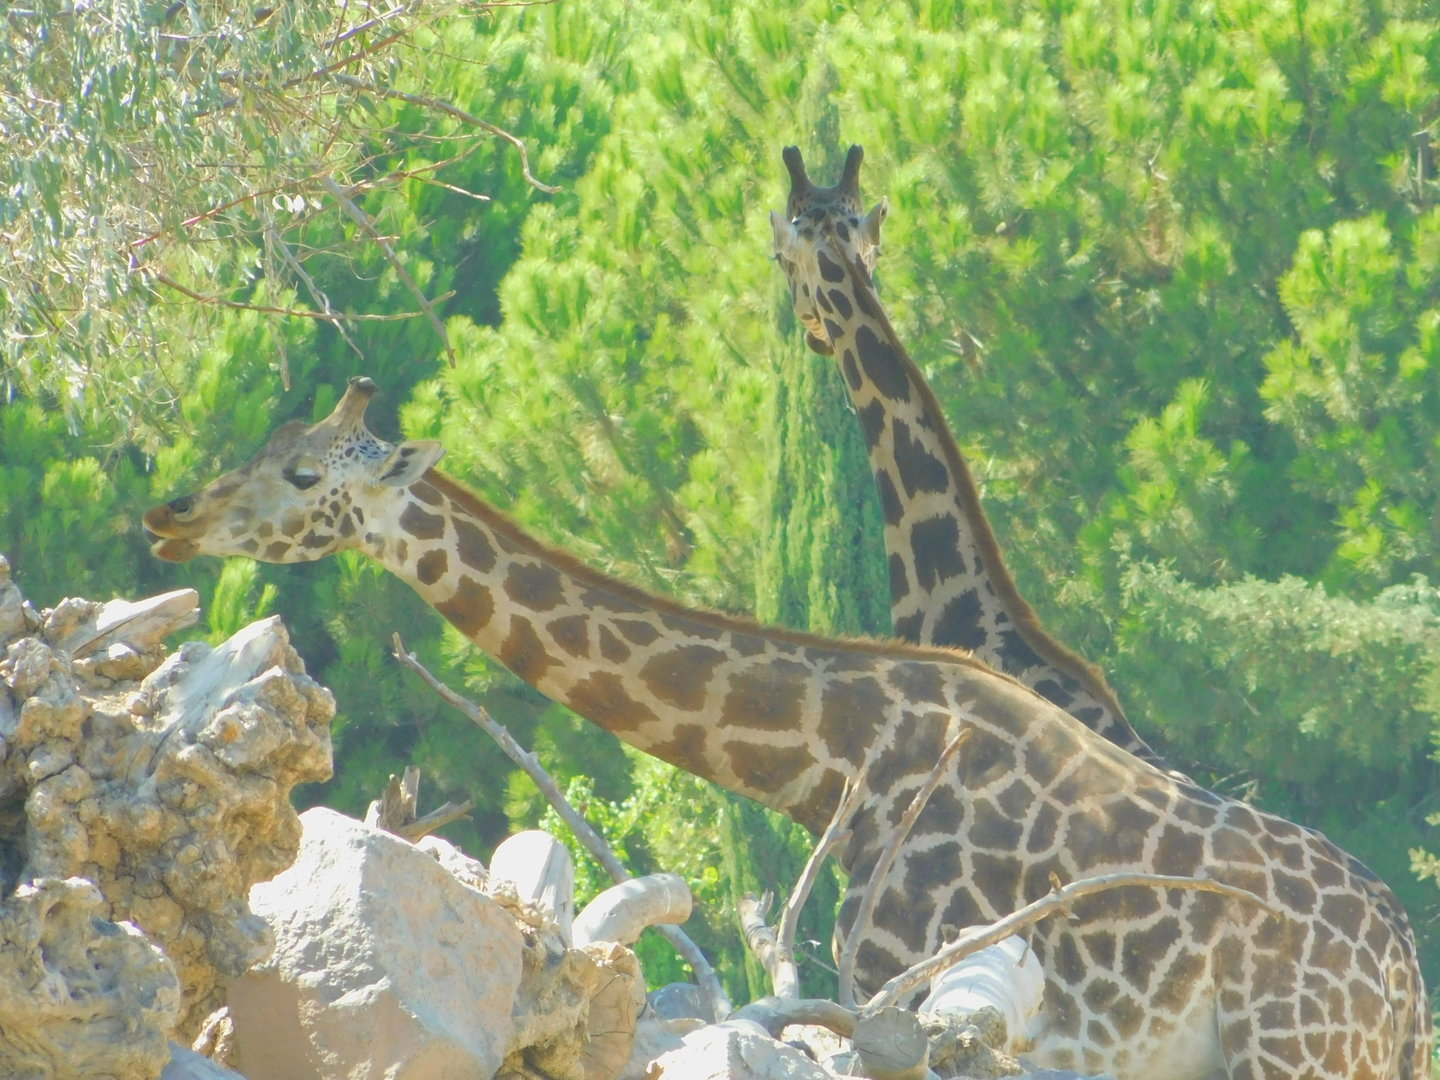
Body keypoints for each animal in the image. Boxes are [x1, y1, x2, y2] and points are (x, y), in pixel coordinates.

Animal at [142, 378, 1427, 1079]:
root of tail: (1405, 970)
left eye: (304, 474)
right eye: (264, 449)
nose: (172, 515)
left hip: (1295, 1054)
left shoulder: (913, 997)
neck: (834, 758)